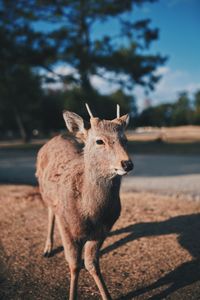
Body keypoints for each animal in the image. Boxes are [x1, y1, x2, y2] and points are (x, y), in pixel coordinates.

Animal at [36, 103, 134, 300]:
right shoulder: (66, 226)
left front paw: (107, 296)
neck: (91, 213)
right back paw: (48, 249)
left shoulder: (103, 230)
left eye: (125, 139)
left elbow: (92, 263)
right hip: (44, 193)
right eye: (99, 141)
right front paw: (72, 295)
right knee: (50, 212)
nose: (127, 164)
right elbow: (74, 265)